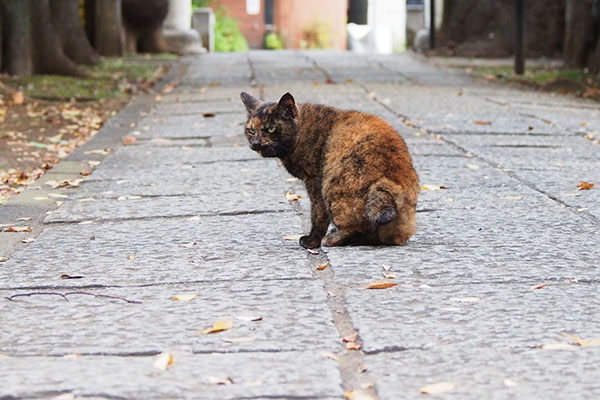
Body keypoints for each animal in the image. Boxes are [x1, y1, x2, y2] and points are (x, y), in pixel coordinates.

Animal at [239, 92, 418, 248]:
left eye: (270, 129)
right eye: (251, 130)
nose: (255, 143)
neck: (302, 130)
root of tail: (390, 179)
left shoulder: (313, 182)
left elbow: (317, 214)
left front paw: (312, 241)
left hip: (331, 187)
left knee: (354, 226)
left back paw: (331, 238)